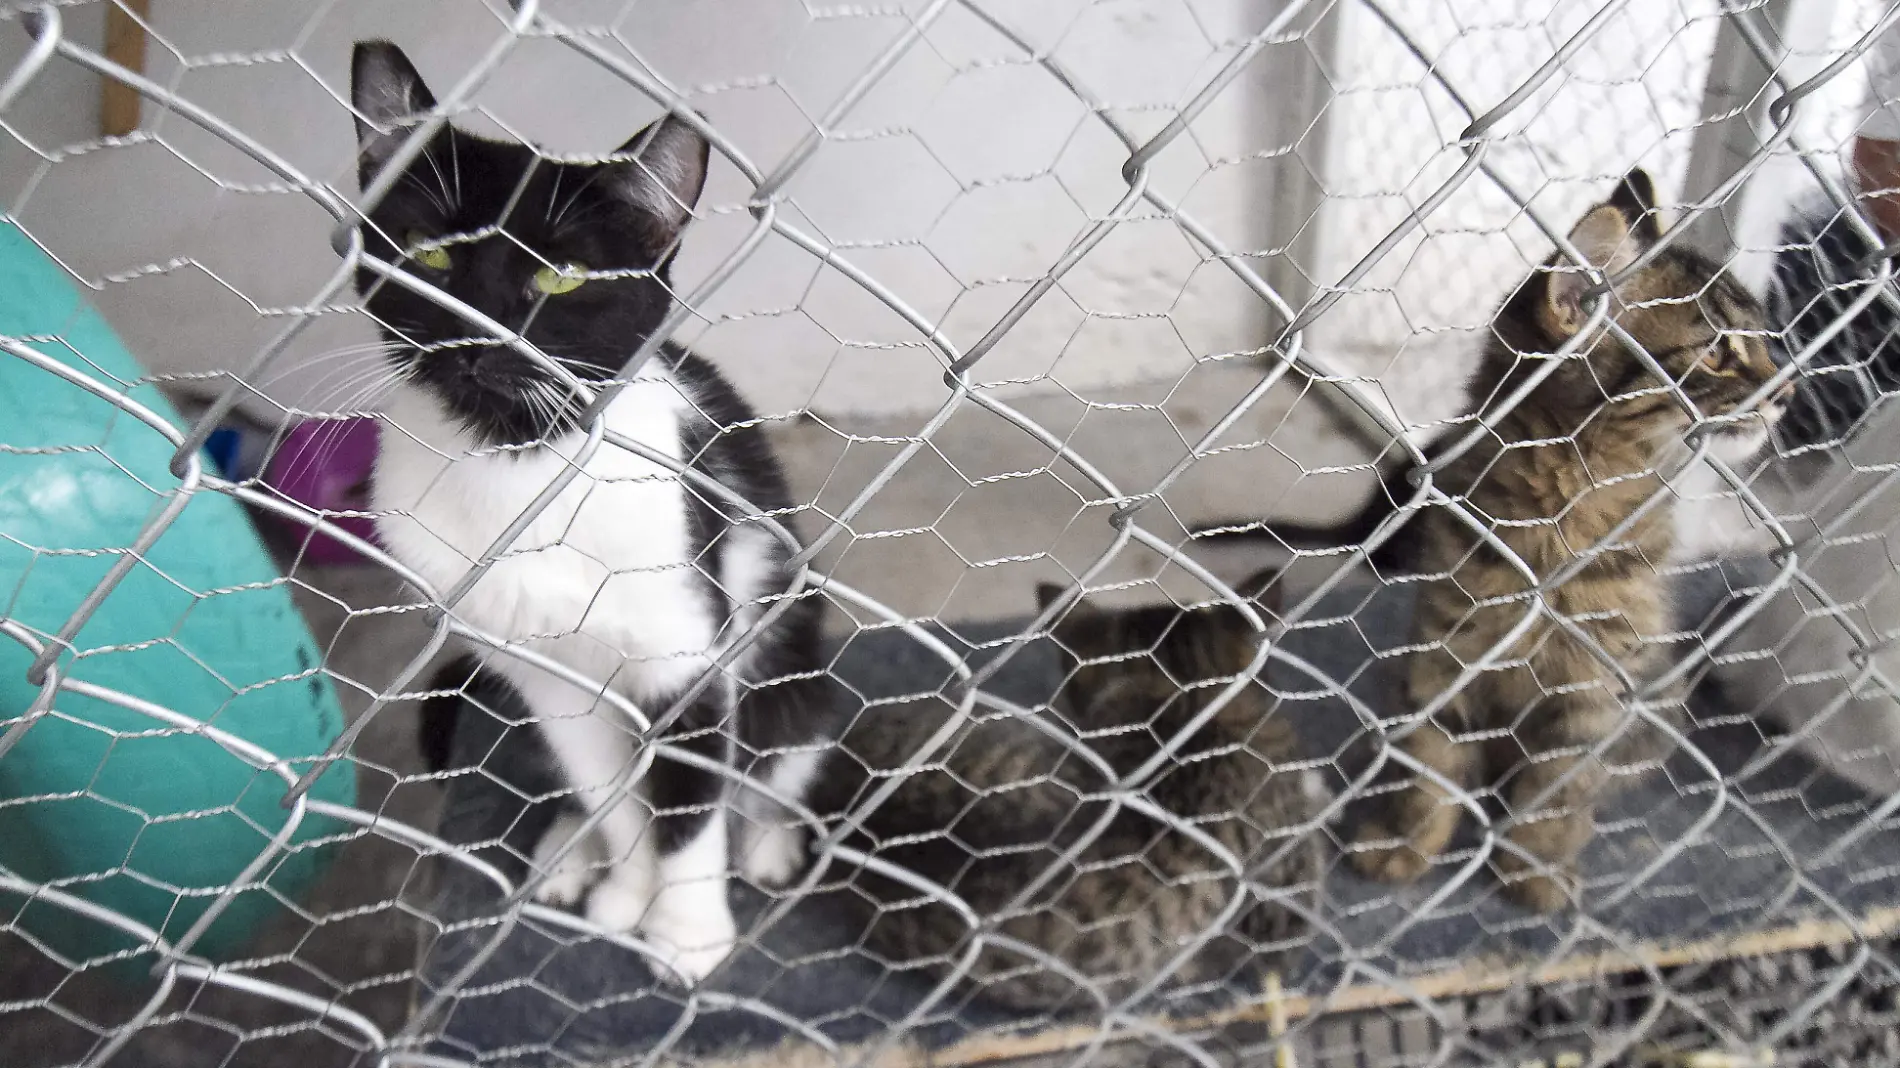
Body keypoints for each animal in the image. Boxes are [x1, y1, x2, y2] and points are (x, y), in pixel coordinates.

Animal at [353, 41, 836, 980]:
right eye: (431, 257)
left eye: (563, 276)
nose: (481, 336)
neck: (519, 462)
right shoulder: (547, 677)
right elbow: (615, 790)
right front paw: (627, 891)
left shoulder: (687, 647)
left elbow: (686, 798)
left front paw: (686, 930)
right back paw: (572, 850)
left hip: (788, 642)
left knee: (780, 750)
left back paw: (767, 840)